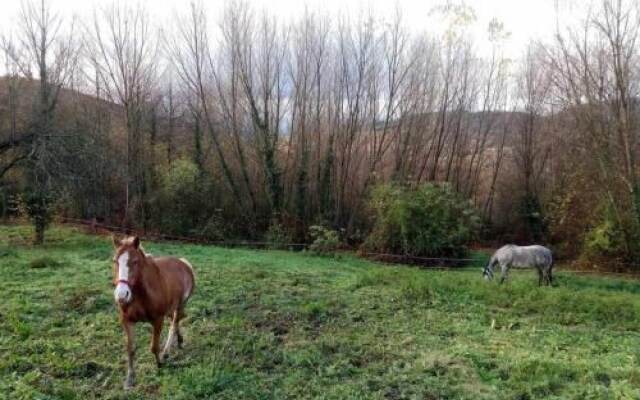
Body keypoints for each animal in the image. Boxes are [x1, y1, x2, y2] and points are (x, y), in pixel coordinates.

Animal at [111, 236, 195, 390]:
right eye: (115, 261)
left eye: (135, 261)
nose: (121, 295)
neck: (140, 294)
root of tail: (184, 264)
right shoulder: (127, 320)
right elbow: (130, 349)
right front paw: (129, 380)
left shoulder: (157, 320)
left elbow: (154, 347)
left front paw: (159, 364)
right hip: (171, 308)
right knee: (175, 321)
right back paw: (179, 342)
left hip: (181, 305)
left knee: (174, 324)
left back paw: (166, 352)